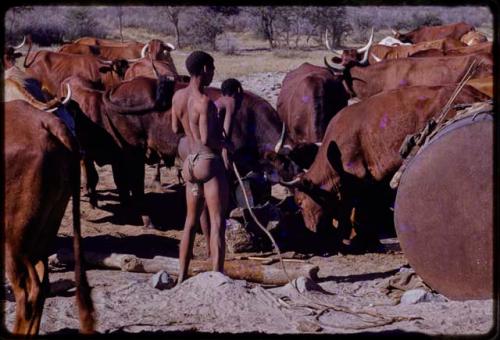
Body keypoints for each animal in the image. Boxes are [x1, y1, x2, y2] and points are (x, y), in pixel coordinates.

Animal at [282, 84, 488, 252]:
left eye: (299, 202)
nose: (311, 229)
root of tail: (474, 92)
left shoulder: (357, 178)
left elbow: (354, 209)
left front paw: (357, 240)